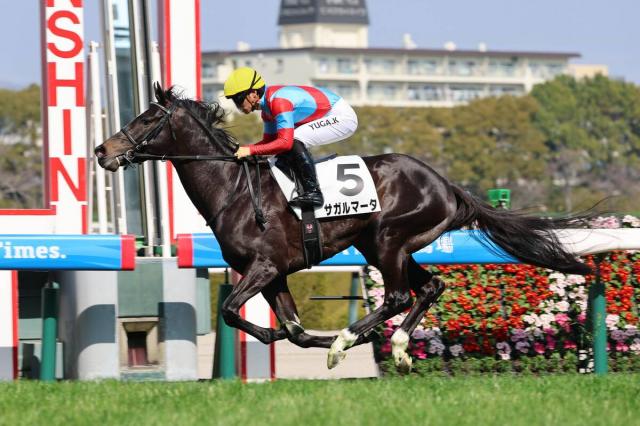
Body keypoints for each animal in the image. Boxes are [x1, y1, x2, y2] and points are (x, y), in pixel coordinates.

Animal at [95, 84, 591, 372]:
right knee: (430, 288)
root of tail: (446, 184)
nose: (102, 151)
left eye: (145, 119)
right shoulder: (275, 274)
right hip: (389, 246)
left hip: (388, 239)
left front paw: (328, 341)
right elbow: (292, 329)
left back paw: (351, 339)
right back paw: (398, 348)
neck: (233, 189)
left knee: (397, 296)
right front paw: (298, 337)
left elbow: (232, 311)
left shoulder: (263, 265)